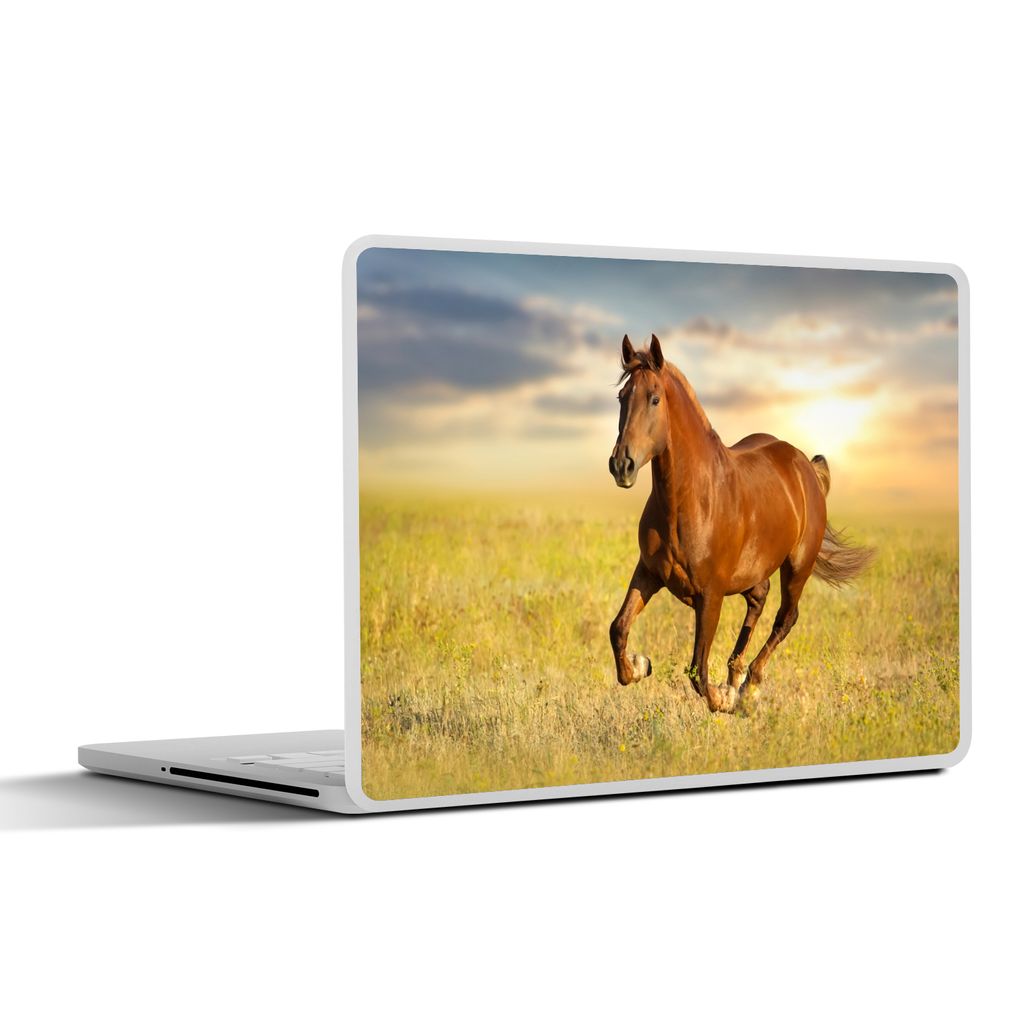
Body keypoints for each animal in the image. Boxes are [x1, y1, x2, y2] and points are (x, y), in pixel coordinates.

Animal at [608, 333, 873, 714]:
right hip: (754, 571)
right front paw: (640, 665)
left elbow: (698, 669)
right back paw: (735, 675)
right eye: (621, 397)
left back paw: (749, 685)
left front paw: (724, 698)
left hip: (797, 568)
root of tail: (804, 466)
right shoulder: (649, 572)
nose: (621, 465)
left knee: (785, 618)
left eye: (654, 398)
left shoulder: (711, 595)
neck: (691, 500)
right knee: (759, 600)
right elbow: (618, 629)